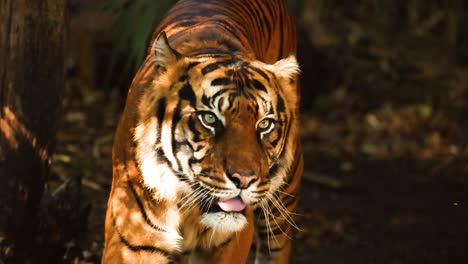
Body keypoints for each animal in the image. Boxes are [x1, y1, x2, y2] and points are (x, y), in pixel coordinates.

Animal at [102, 0, 304, 262]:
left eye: (264, 124)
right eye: (209, 118)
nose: (244, 179)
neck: (188, 212)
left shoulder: (231, 243)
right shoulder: (132, 242)